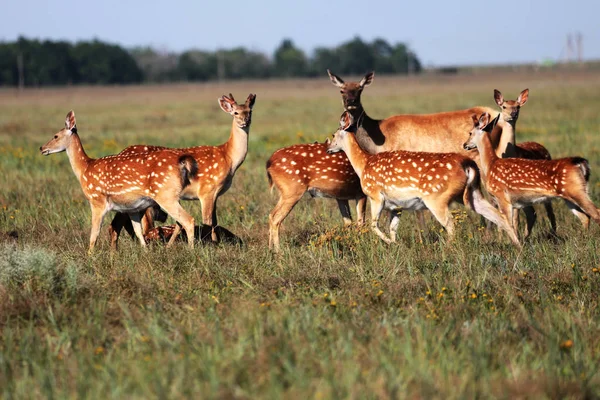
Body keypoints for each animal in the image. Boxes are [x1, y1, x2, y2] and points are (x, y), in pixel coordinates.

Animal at [40, 111, 199, 252]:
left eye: (55, 135)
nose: (42, 148)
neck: (85, 169)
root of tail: (182, 163)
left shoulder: (97, 201)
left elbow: (94, 234)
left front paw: (90, 257)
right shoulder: (132, 208)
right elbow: (138, 231)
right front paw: (145, 253)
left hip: (165, 195)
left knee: (188, 220)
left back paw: (190, 251)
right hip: (171, 196)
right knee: (181, 222)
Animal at [110, 93, 255, 247]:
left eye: (250, 111)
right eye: (235, 112)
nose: (245, 121)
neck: (228, 157)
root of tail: (120, 152)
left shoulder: (215, 194)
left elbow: (214, 221)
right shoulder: (207, 190)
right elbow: (208, 221)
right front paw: (211, 245)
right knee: (115, 224)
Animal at [326, 111, 516, 245]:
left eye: (334, 135)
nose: (328, 148)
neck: (363, 164)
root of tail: (467, 164)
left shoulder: (375, 195)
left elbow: (374, 226)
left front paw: (389, 243)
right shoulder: (396, 206)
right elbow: (393, 229)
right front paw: (395, 246)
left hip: (437, 197)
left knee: (451, 225)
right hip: (472, 193)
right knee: (498, 215)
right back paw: (517, 245)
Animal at [464, 111, 600, 239]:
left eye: (470, 133)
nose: (465, 144)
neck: (491, 164)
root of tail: (580, 163)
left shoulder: (502, 196)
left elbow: (508, 223)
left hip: (575, 190)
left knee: (596, 213)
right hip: (570, 195)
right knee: (585, 217)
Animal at [492, 88, 556, 238]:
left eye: (518, 106)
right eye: (504, 106)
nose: (513, 114)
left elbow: (515, 219)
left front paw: (514, 235)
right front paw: (500, 238)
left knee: (549, 211)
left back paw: (553, 234)